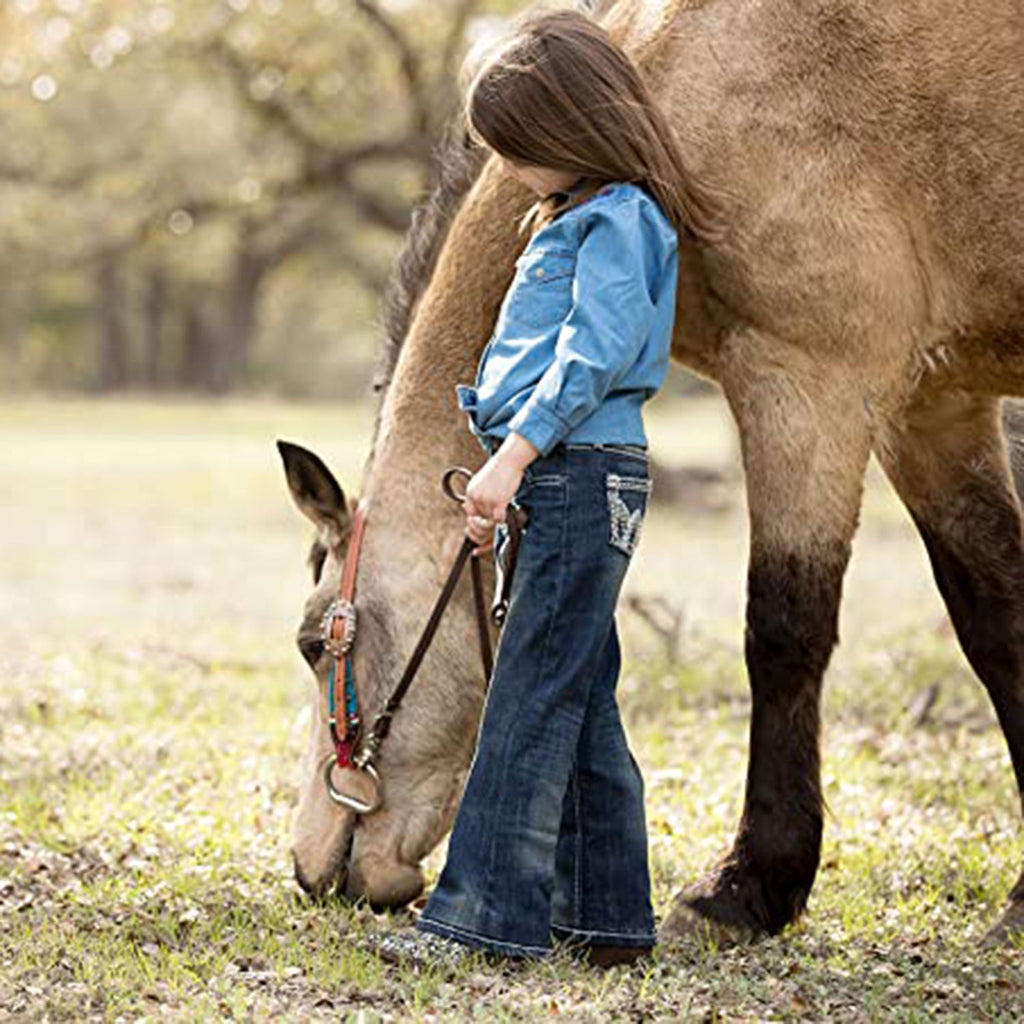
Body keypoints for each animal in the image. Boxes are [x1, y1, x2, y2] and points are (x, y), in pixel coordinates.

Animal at [276, 0, 1024, 942]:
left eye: (314, 644)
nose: (311, 870)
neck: (668, 92)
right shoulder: (932, 409)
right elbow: (997, 622)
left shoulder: (806, 383)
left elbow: (784, 631)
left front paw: (747, 886)